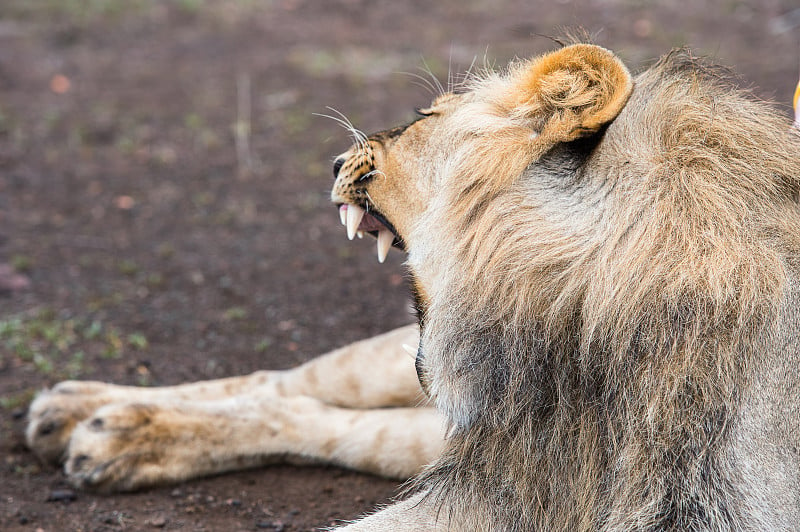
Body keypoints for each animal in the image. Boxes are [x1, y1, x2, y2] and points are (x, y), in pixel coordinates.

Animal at [28, 45, 800, 532]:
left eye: (426, 119)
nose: (335, 161)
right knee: (289, 384)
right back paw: (89, 414)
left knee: (320, 416)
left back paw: (114, 434)